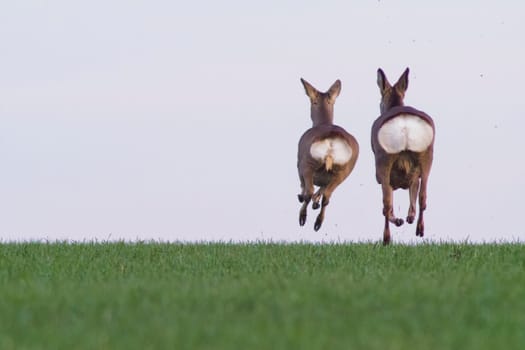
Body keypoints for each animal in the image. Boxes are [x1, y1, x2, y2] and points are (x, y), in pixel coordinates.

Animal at [296, 78, 358, 231]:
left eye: (313, 101)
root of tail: (331, 142)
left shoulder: (298, 165)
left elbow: (304, 186)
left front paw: (302, 197)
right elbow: (322, 190)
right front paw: (315, 203)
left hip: (308, 162)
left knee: (309, 190)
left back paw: (303, 218)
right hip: (344, 171)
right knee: (327, 196)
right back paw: (318, 222)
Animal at [370, 67, 436, 245]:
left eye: (380, 101)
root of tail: (405, 124)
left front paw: (400, 220)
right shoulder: (414, 173)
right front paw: (409, 218)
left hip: (383, 159)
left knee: (386, 204)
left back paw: (387, 238)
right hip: (427, 155)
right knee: (423, 196)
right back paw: (419, 229)